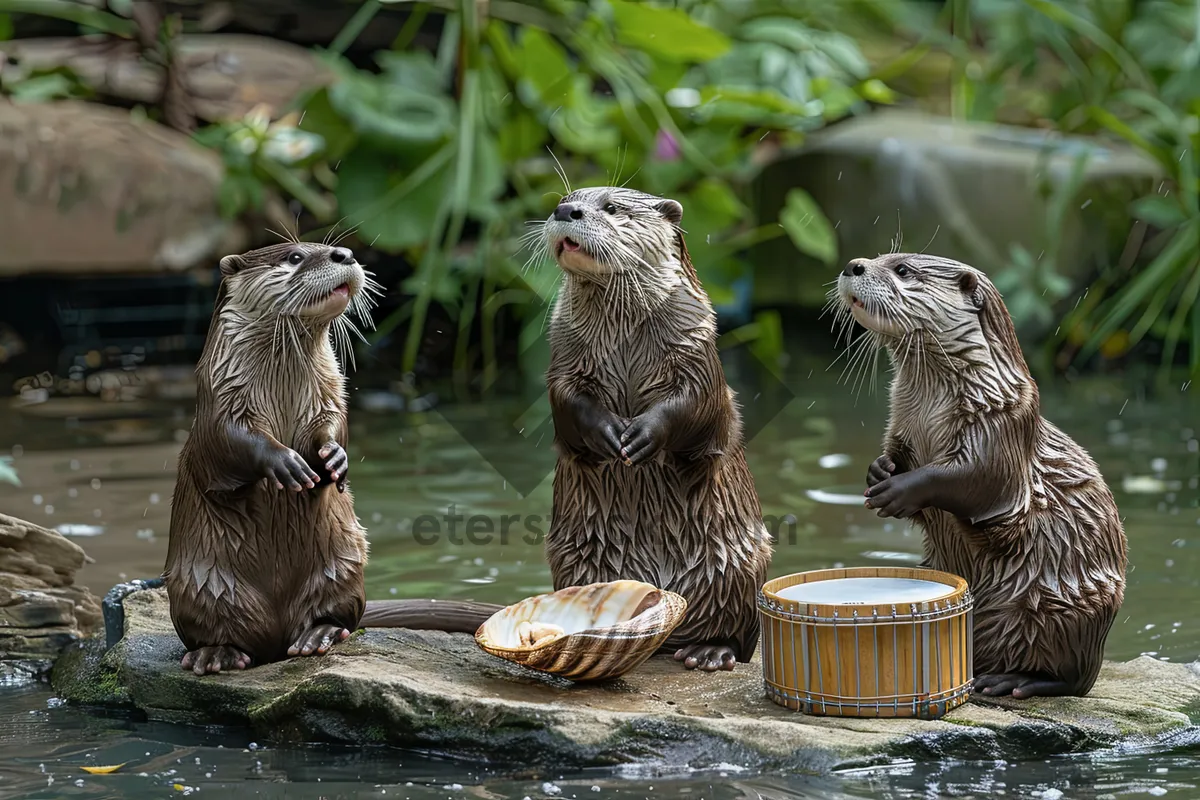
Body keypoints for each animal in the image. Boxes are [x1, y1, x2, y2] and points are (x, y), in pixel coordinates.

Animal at [162, 242, 499, 676]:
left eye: (326, 246)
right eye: (293, 257)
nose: (345, 253)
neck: (282, 386)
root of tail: (276, 640)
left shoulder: (330, 393)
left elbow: (334, 425)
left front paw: (335, 457)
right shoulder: (220, 402)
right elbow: (232, 441)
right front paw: (286, 462)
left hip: (343, 563)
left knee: (339, 616)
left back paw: (317, 635)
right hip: (201, 584)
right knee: (216, 631)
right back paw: (216, 654)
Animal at [540, 185, 772, 671]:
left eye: (612, 207)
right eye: (565, 198)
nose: (566, 210)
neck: (626, 336)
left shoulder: (698, 346)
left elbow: (695, 402)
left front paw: (644, 435)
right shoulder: (563, 356)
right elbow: (567, 401)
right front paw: (607, 433)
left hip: (740, 565)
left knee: (738, 631)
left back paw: (709, 651)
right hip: (574, 560)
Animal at [835, 253, 1123, 695]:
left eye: (902, 270)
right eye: (880, 257)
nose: (854, 265)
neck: (929, 416)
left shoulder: (1002, 427)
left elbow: (971, 481)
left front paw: (898, 490)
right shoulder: (900, 427)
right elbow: (896, 459)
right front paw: (879, 471)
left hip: (1067, 611)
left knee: (1074, 679)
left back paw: (1012, 680)